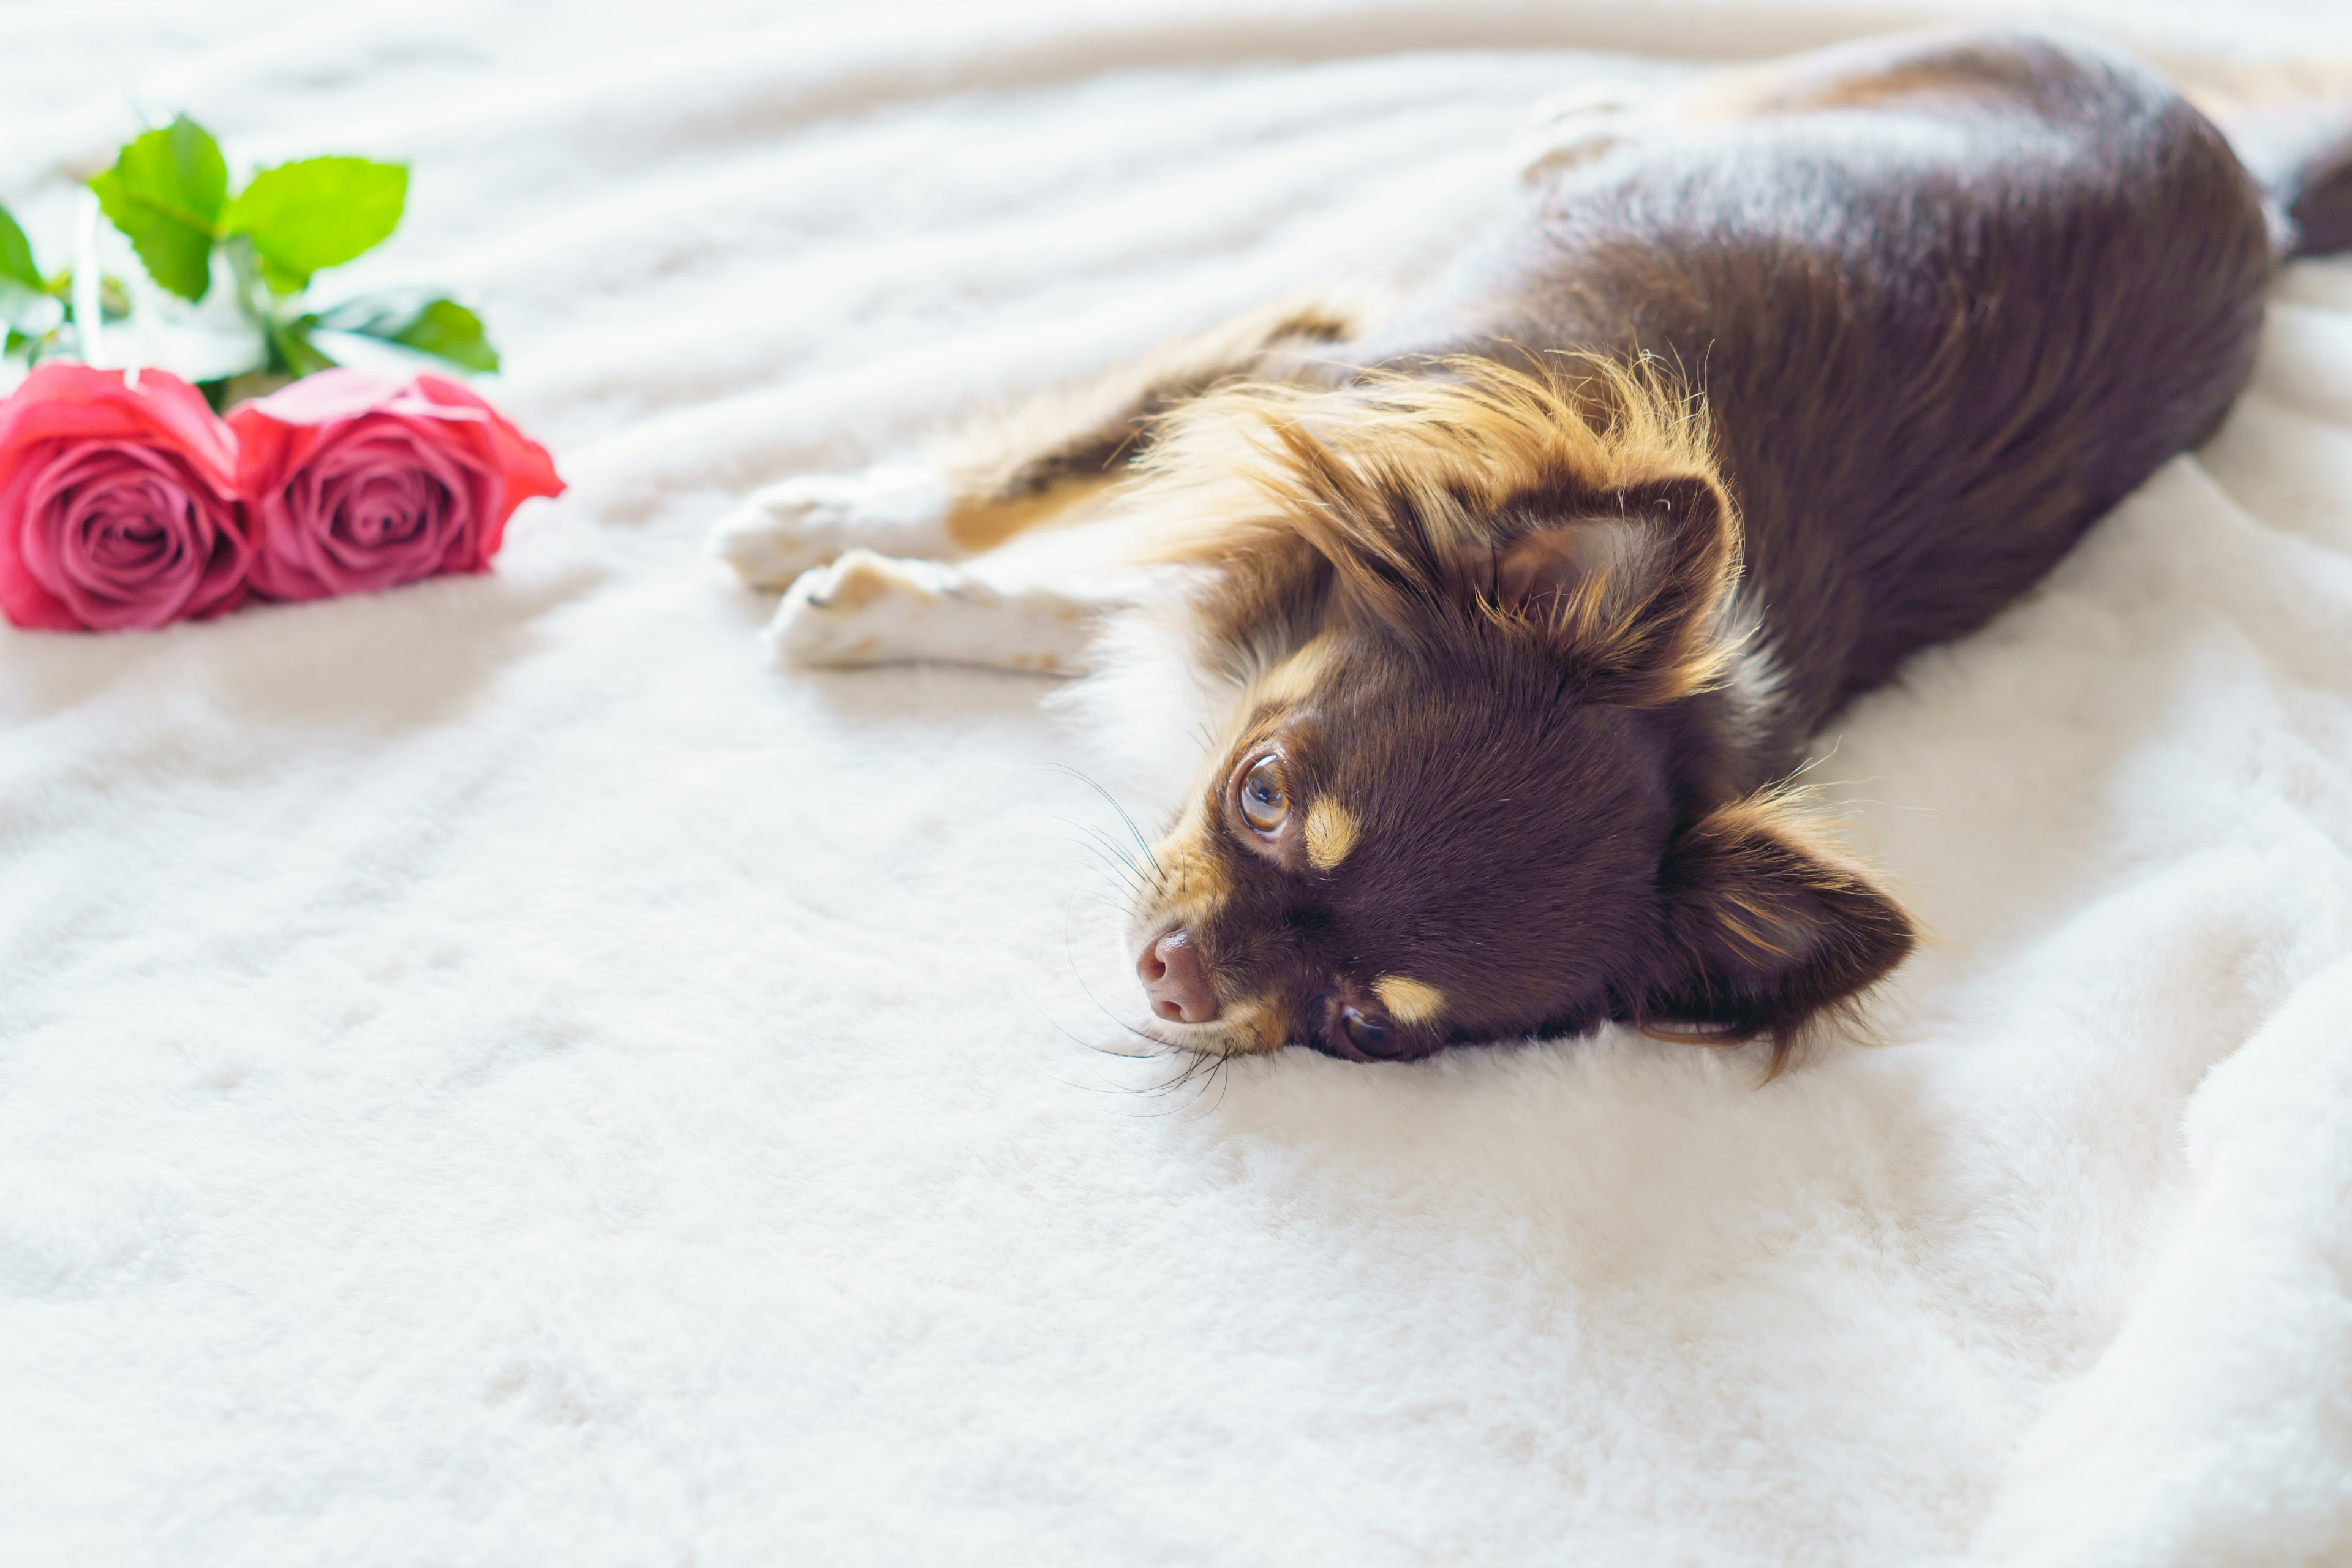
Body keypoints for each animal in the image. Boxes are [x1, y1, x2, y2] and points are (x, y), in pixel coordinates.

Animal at [710, 31, 2352, 1072]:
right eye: (1262, 795)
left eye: (1363, 1022)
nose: (1173, 975)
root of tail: (2263, 203)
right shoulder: (1302, 379)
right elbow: (1038, 480)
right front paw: (824, 527)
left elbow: (1087, 603)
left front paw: (871, 596)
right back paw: (1589, 125)